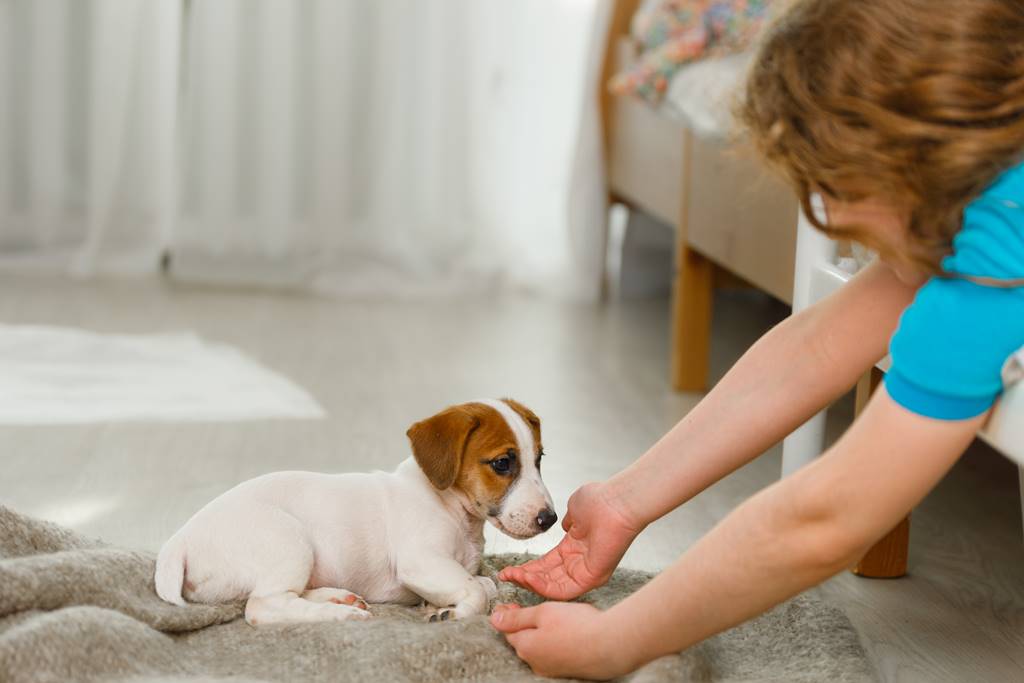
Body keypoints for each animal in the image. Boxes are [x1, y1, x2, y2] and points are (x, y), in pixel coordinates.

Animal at [152, 397, 557, 626]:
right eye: (502, 463)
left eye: (539, 459)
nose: (550, 519)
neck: (452, 509)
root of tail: (179, 541)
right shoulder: (420, 561)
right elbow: (476, 589)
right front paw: (451, 613)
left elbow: (484, 582)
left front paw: (438, 603)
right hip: (289, 542)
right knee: (262, 606)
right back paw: (338, 614)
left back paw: (336, 597)